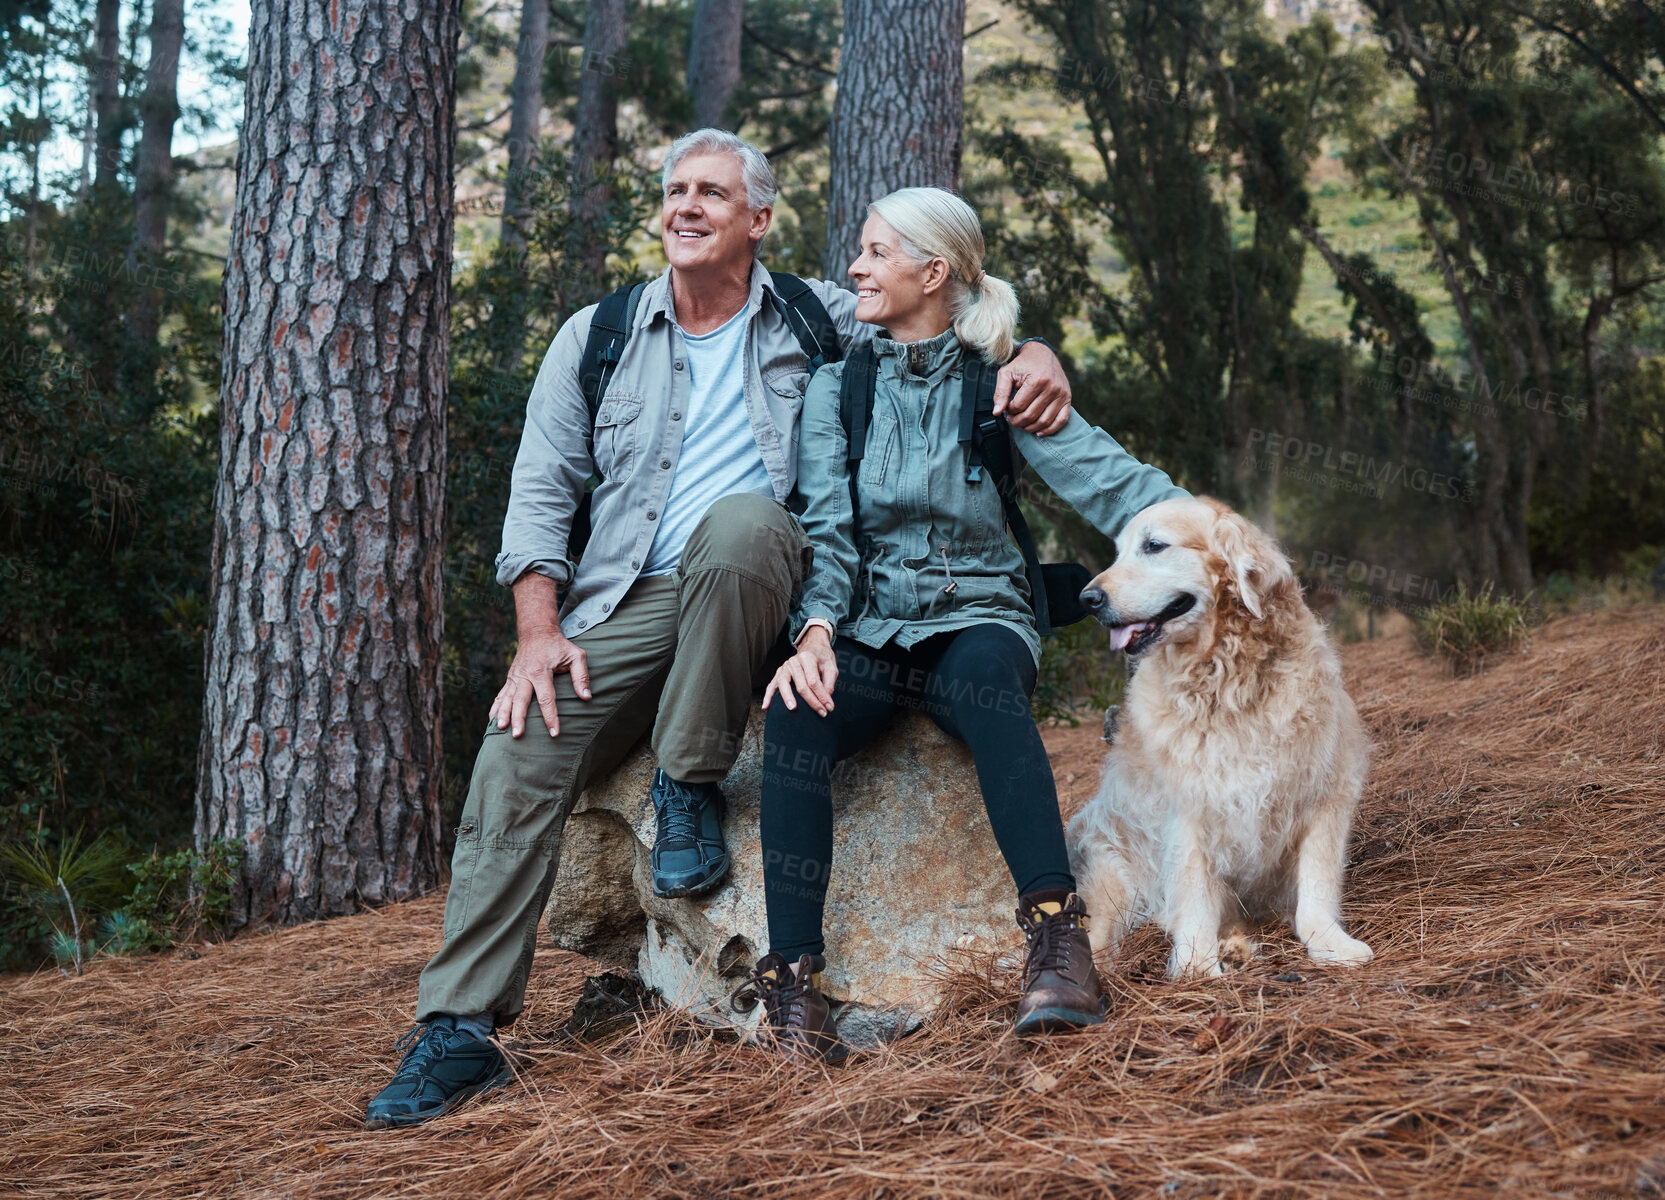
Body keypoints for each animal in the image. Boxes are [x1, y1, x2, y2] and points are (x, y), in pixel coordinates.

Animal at [1065, 495, 1378, 971]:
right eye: (1118, 552)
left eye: (1154, 546)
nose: (1087, 599)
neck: (1227, 681)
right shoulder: (1187, 812)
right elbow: (1194, 895)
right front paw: (1197, 967)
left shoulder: (1326, 792)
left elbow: (1318, 883)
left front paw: (1329, 942)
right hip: (1112, 887)